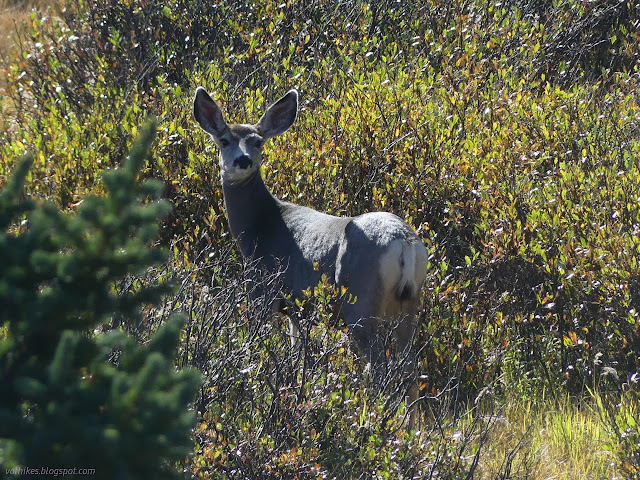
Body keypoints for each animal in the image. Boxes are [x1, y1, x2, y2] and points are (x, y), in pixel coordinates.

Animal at [192, 87, 428, 424]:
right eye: (225, 140)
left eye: (257, 141)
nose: (243, 160)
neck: (260, 226)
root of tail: (404, 242)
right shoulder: (297, 308)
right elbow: (294, 350)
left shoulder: (263, 289)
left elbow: (258, 344)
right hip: (409, 303)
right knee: (410, 367)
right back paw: (411, 428)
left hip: (360, 301)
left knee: (379, 369)